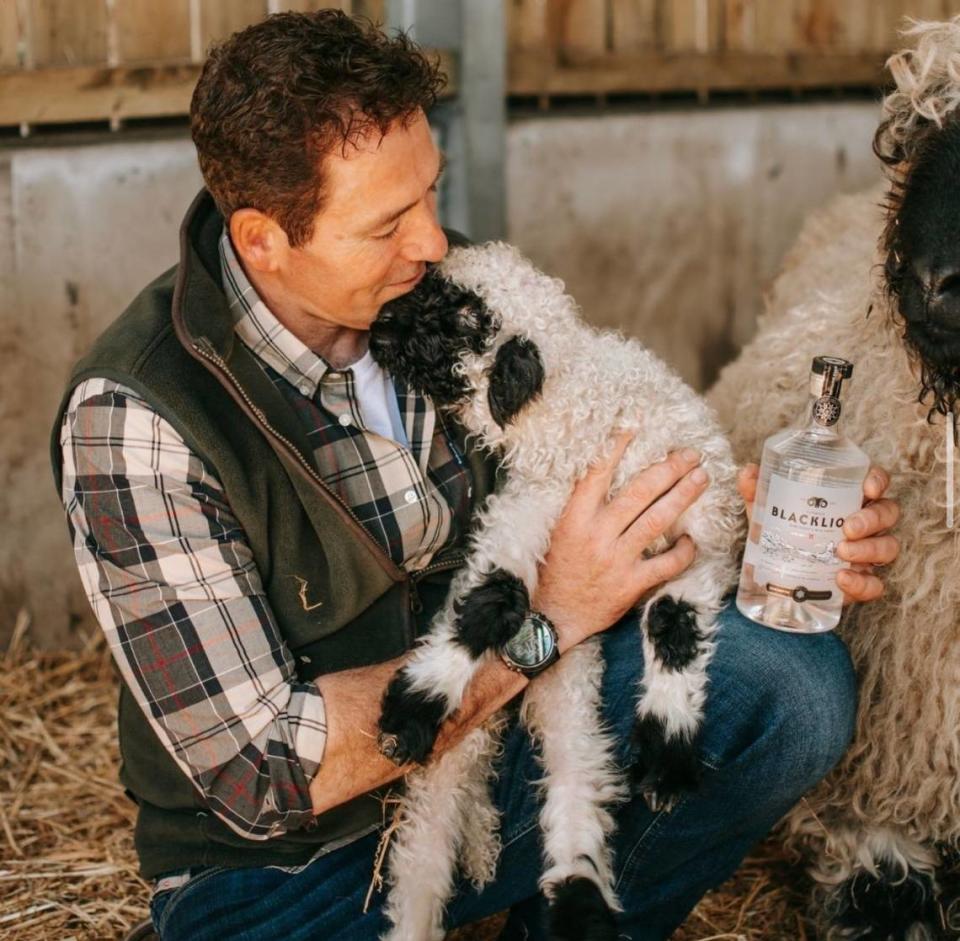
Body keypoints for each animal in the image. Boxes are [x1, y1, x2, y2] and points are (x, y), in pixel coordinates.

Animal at [364, 244, 748, 940]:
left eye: (457, 319)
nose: (377, 327)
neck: (585, 400)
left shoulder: (699, 539)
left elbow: (672, 623)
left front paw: (669, 758)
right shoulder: (538, 499)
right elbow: (494, 598)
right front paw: (414, 708)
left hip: (571, 690)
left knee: (576, 779)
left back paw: (580, 898)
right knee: (424, 856)